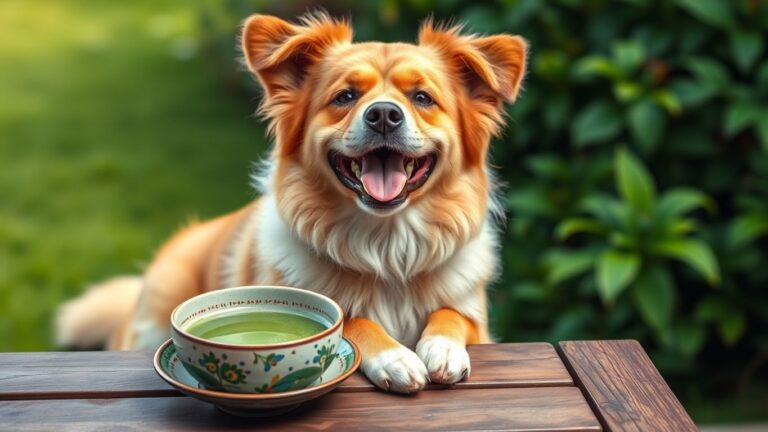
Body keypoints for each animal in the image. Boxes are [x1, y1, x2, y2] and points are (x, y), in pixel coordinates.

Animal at [57, 11, 528, 394]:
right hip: (155, 316)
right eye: (345, 97)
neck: (385, 245)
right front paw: (395, 356)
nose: (383, 115)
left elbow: (454, 315)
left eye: (423, 98)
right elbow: (352, 319)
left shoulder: (476, 317)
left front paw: (441, 348)